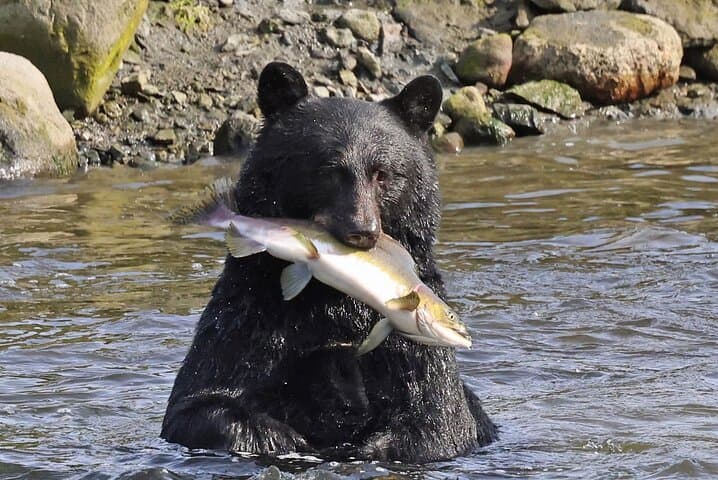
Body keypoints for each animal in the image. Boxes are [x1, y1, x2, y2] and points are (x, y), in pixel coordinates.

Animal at [161, 62, 497, 462]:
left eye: (382, 173)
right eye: (328, 170)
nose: (361, 231)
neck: (337, 293)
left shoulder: (412, 344)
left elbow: (437, 421)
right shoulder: (251, 310)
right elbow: (202, 401)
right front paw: (287, 437)